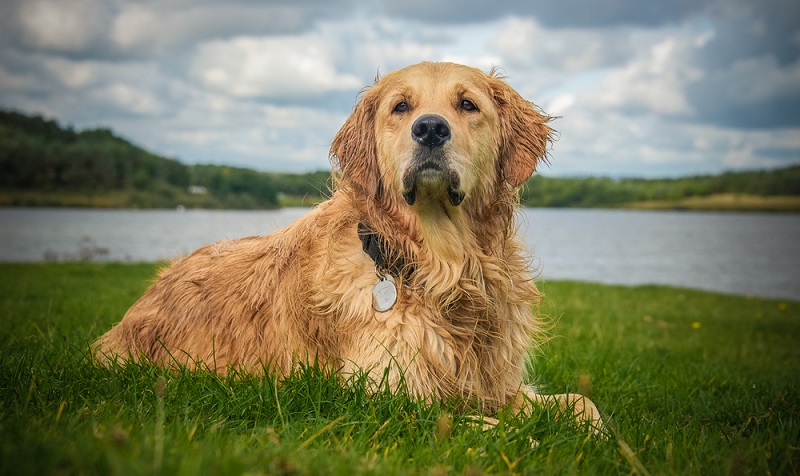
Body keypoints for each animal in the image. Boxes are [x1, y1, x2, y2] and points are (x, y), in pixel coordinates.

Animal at [94, 60, 600, 428]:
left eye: (467, 104)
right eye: (401, 107)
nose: (430, 128)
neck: (437, 268)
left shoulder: (498, 385)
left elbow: (583, 404)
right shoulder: (389, 396)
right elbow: (490, 428)